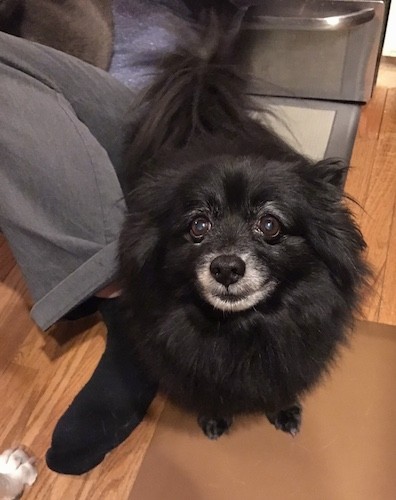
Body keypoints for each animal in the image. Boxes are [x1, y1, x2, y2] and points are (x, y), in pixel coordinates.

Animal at [119, 13, 370, 440]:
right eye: (198, 225)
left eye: (269, 224)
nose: (226, 268)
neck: (243, 328)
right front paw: (214, 418)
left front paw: (284, 410)